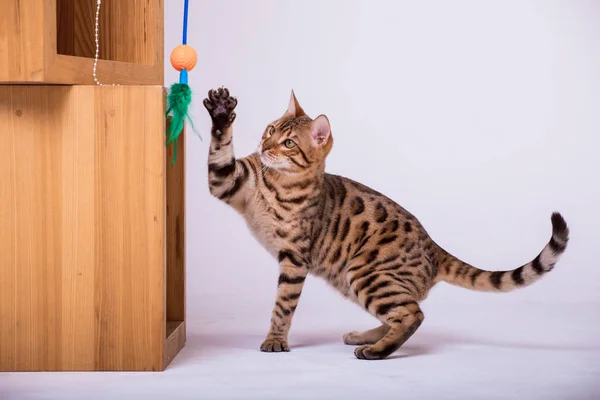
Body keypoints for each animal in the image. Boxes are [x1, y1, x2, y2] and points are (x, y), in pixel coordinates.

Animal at [204, 86, 568, 360]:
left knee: (413, 314)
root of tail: (436, 248)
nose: (264, 146)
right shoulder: (228, 180)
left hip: (366, 273)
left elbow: (283, 305)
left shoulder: (294, 257)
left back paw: (377, 350)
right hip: (352, 278)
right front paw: (221, 113)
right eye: (270, 130)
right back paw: (367, 336)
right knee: (402, 311)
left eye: (289, 143)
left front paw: (276, 340)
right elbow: (220, 150)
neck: (278, 183)